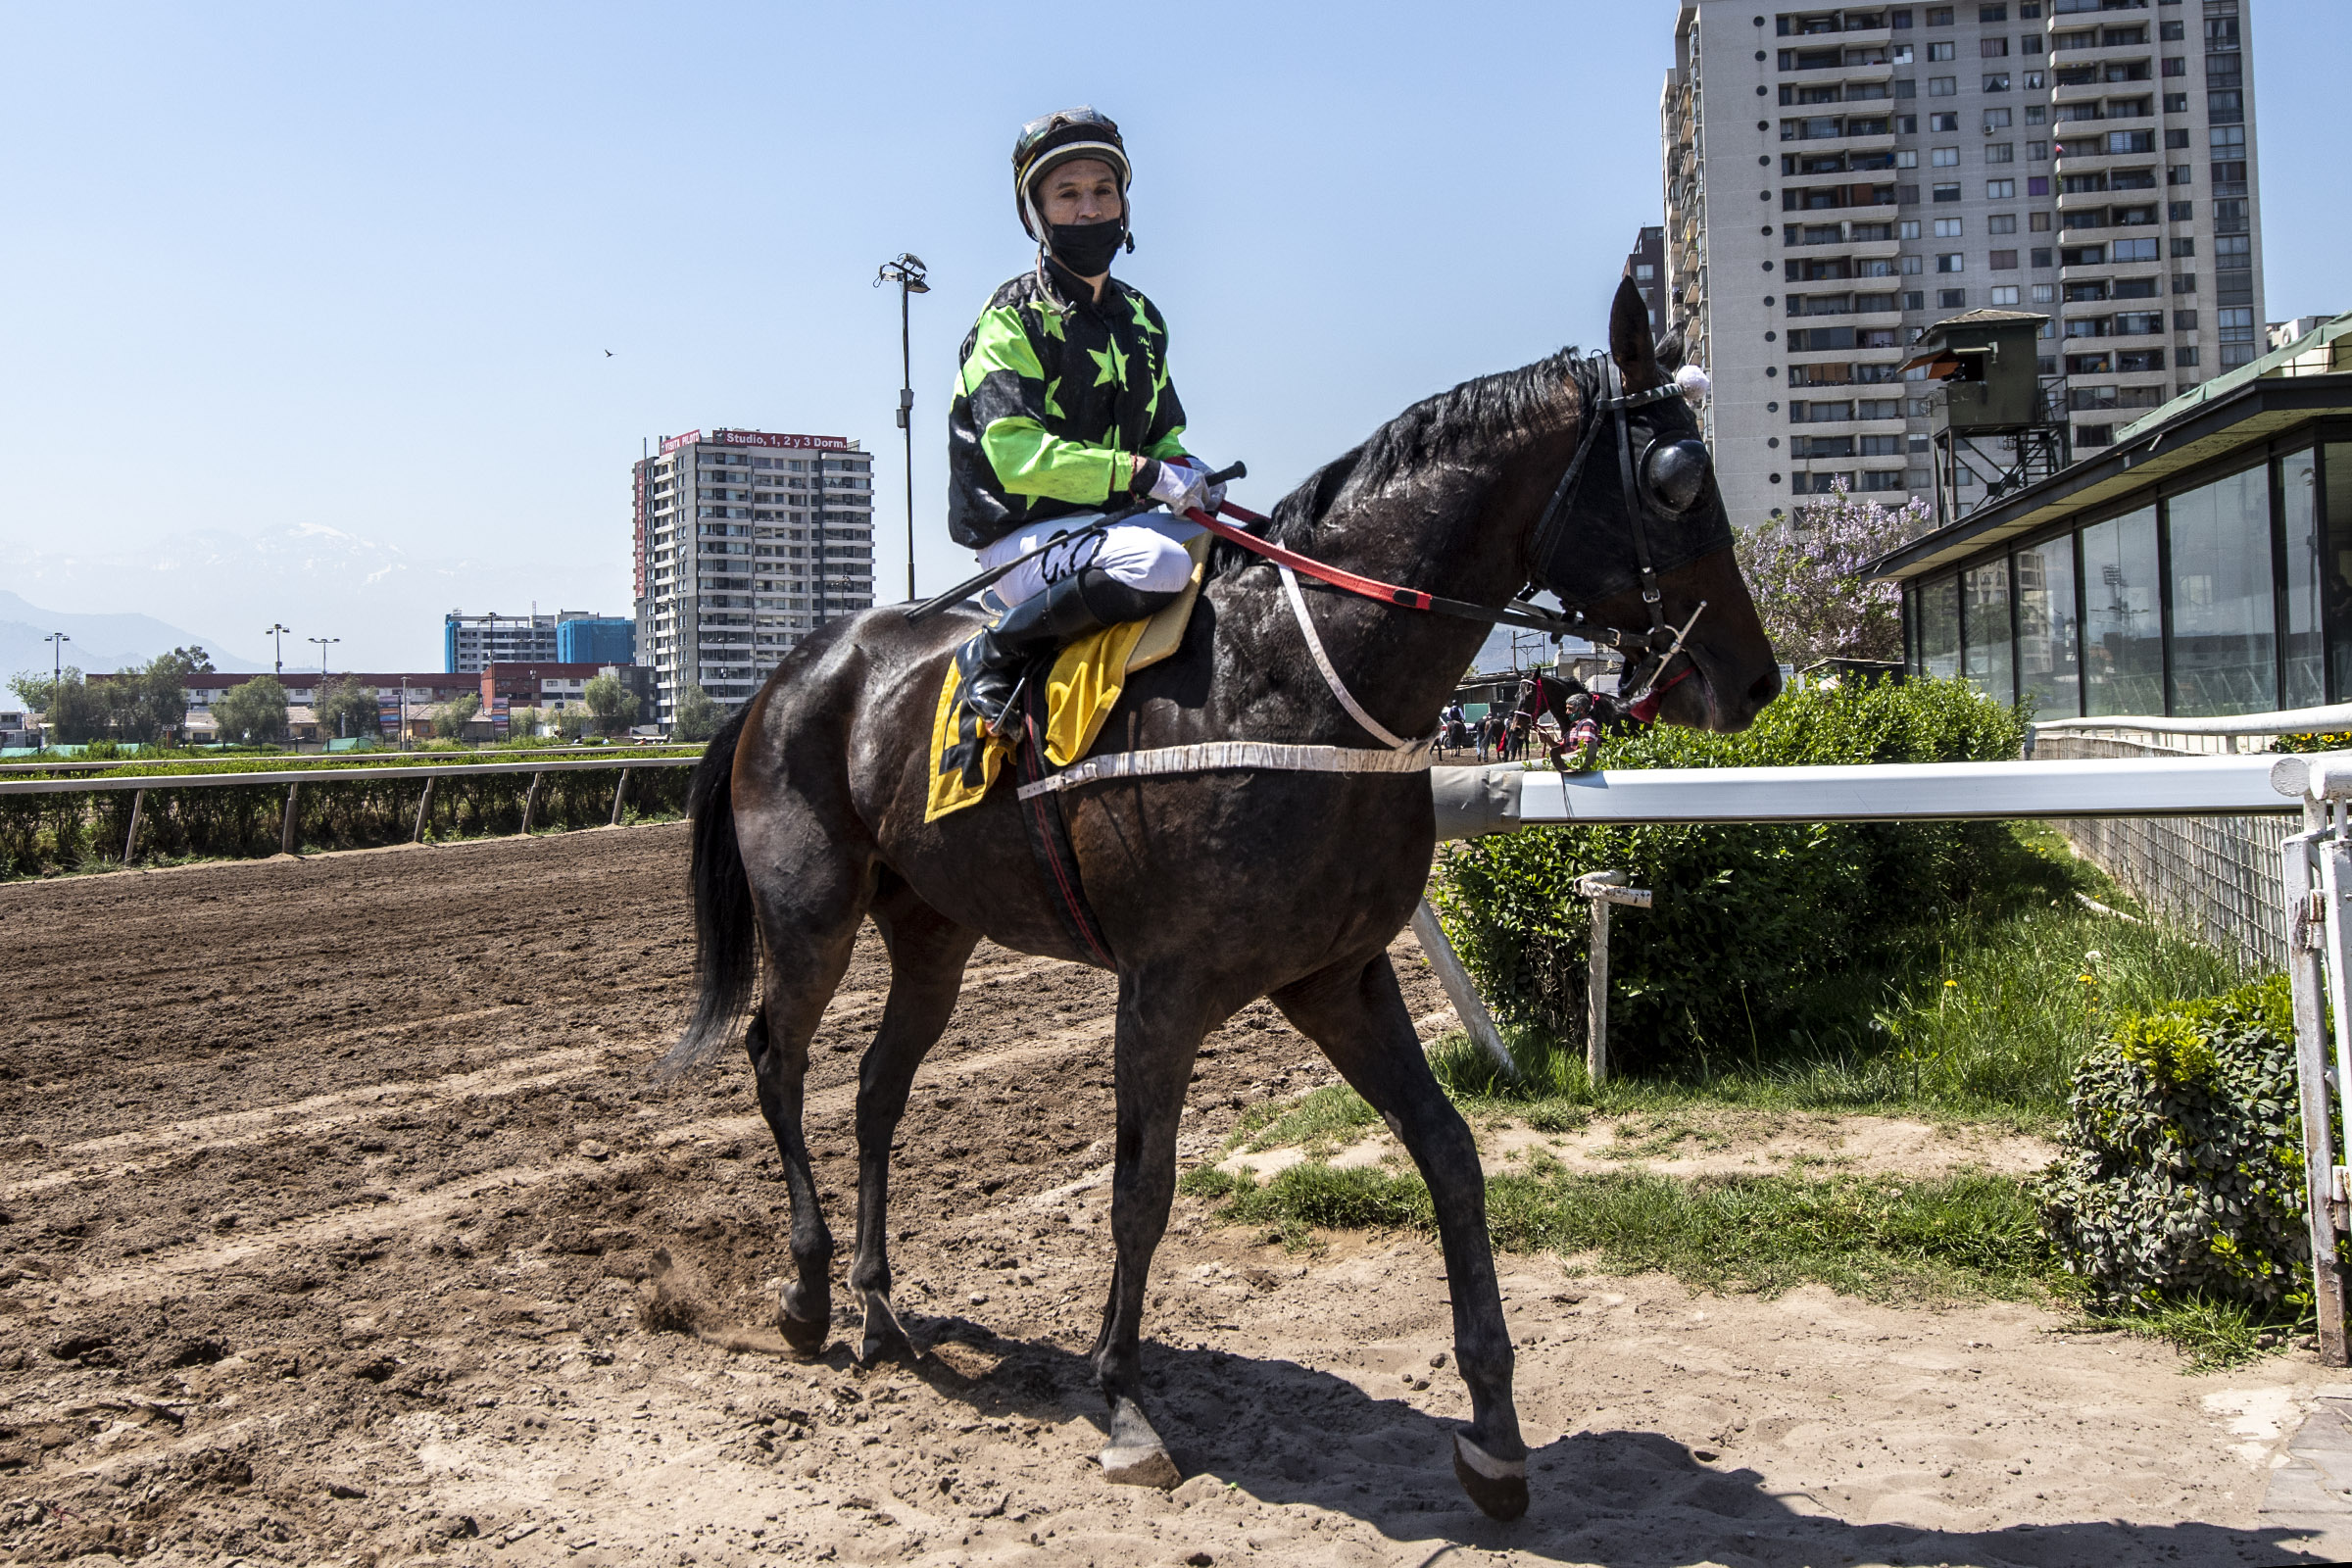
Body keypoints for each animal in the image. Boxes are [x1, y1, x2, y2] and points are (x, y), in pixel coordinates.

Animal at [660, 277, 1781, 1520]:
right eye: (1676, 475)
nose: (1754, 677)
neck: (1298, 684)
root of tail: (785, 673)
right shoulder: (1163, 989)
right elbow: (1141, 1189)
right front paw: (1123, 1401)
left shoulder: (1338, 975)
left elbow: (1449, 1152)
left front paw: (1495, 1433)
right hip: (812, 911)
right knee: (778, 1057)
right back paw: (809, 1294)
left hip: (935, 931)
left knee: (875, 1089)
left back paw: (877, 1302)